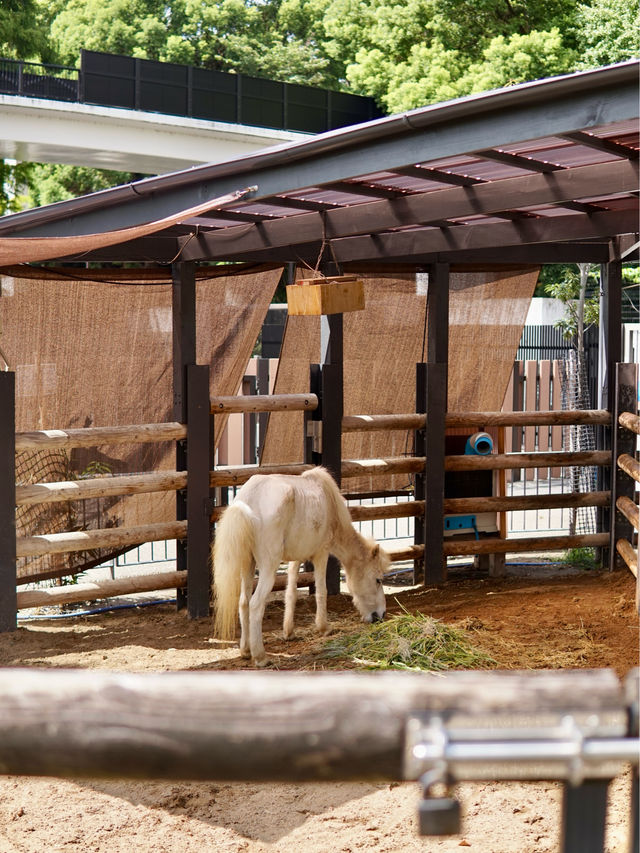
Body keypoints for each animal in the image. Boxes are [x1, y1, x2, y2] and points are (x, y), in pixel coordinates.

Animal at [212, 466, 388, 664]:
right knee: (256, 604)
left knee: (244, 602)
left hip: (247, 566)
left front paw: (288, 631)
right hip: (268, 568)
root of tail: (248, 500)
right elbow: (321, 591)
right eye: (378, 580)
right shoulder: (321, 553)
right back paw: (260, 656)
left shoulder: (296, 558)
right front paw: (324, 627)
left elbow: (291, 593)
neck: (330, 505)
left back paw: (246, 650)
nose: (381, 615)